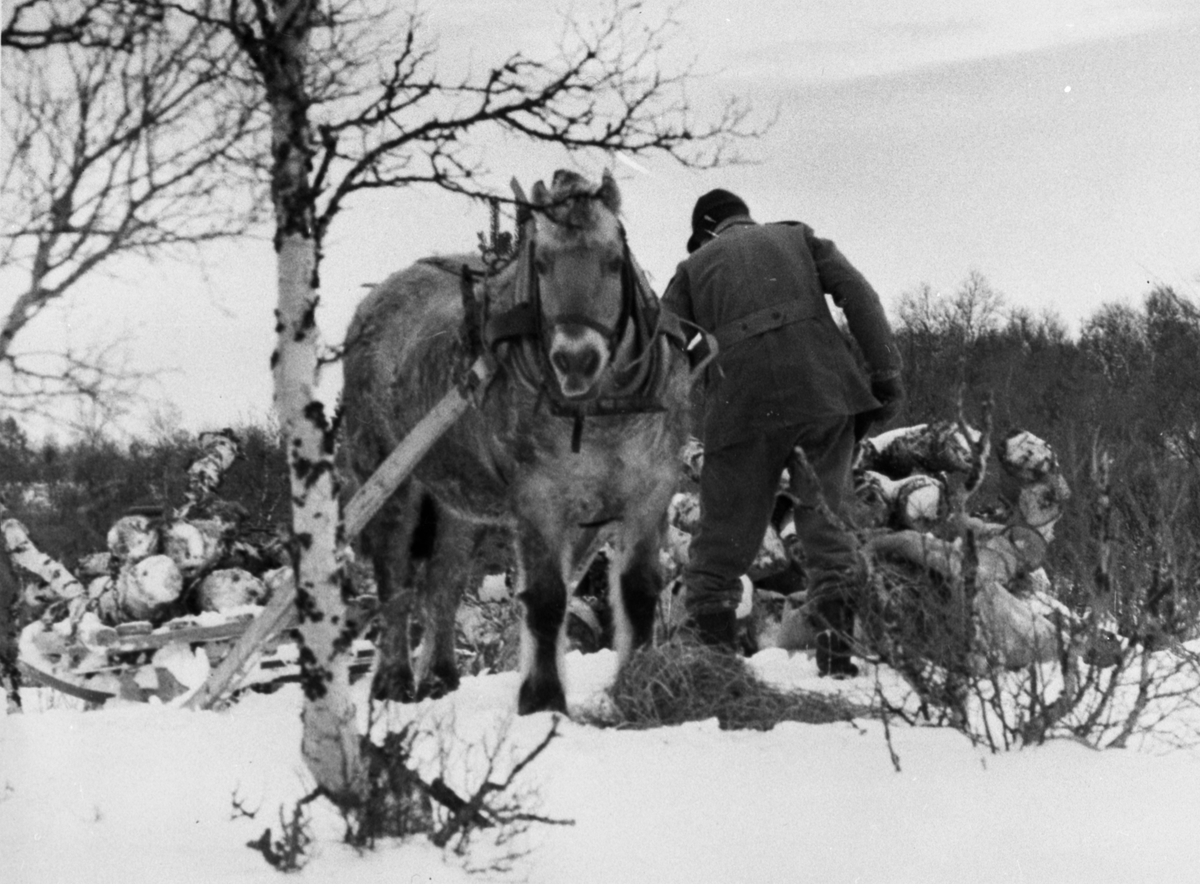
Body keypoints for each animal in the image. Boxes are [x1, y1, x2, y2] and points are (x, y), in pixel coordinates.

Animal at [340, 169, 696, 714]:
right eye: (542, 263)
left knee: (443, 583)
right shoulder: (539, 499)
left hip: (457, 500)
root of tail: (372, 303)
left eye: (614, 261)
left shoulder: (649, 493)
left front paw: (638, 687)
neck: (600, 410)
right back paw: (393, 681)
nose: (576, 359)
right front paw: (542, 698)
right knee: (395, 581)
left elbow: (638, 592)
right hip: (392, 479)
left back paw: (439, 676)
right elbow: (546, 599)